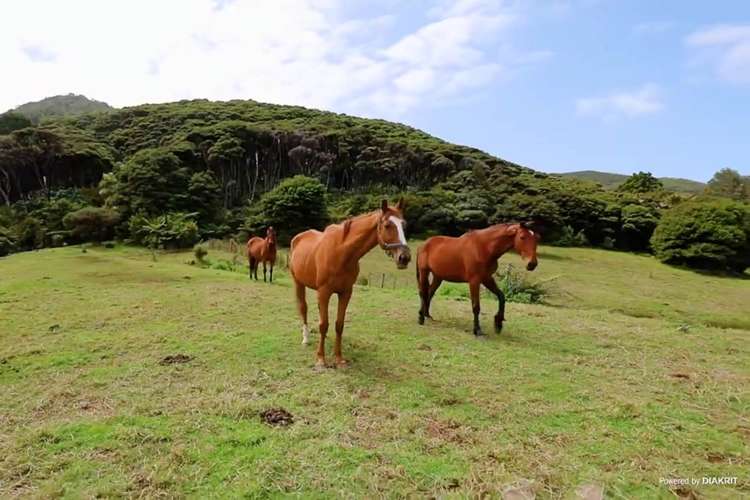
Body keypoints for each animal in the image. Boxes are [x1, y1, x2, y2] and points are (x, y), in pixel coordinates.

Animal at [292, 199, 412, 368]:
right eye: (388, 225)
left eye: (404, 224)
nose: (404, 257)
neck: (341, 253)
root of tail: (298, 238)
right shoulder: (324, 292)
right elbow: (323, 325)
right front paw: (321, 359)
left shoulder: (346, 292)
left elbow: (339, 325)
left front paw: (339, 358)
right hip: (298, 283)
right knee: (303, 308)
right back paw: (306, 339)